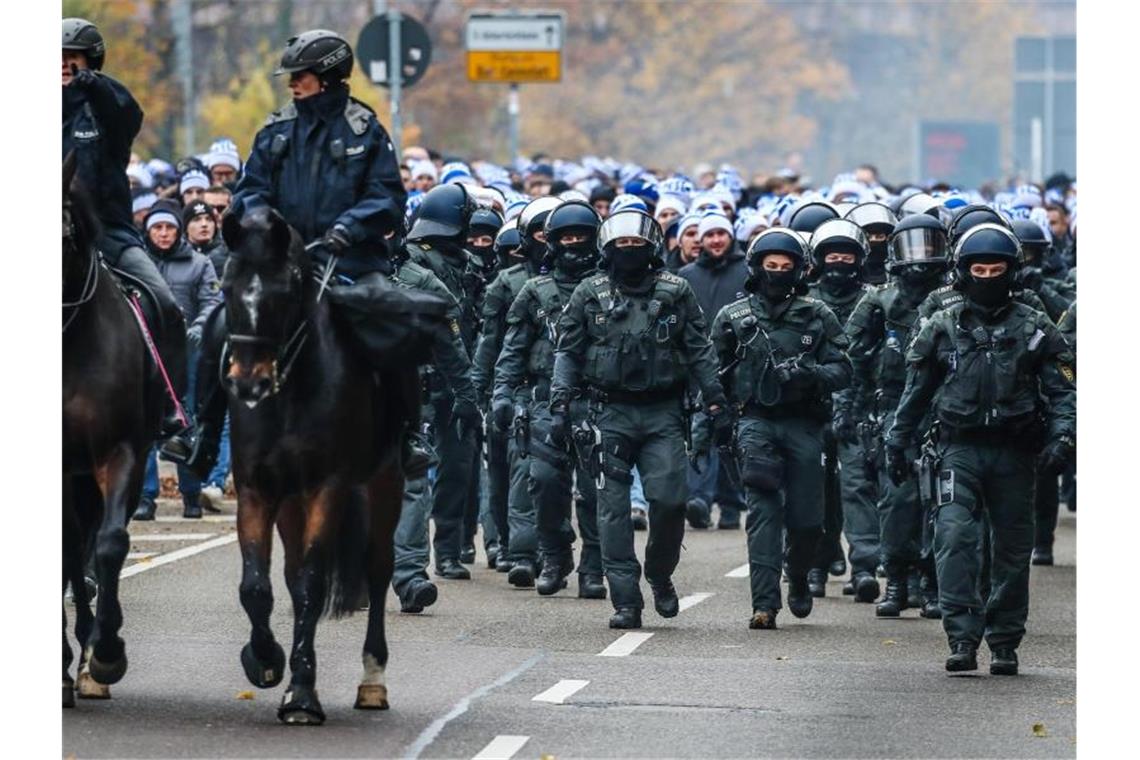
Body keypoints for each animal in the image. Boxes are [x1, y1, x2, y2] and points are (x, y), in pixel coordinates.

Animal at [215, 208, 426, 724]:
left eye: (285, 289)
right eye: (227, 286)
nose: (248, 383)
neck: (289, 391)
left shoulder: (326, 487)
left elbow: (312, 584)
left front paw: (302, 696)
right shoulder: (257, 489)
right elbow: (257, 587)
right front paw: (266, 661)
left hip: (384, 484)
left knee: (377, 571)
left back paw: (372, 680)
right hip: (291, 502)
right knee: (291, 577)